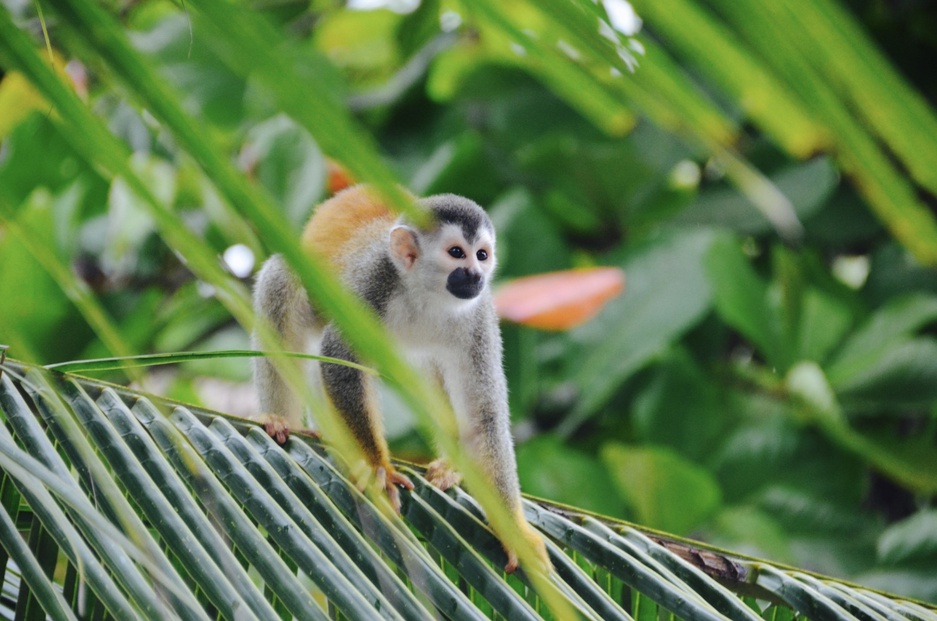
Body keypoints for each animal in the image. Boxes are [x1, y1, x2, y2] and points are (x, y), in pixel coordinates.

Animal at [256, 184, 548, 572]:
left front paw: (516, 534)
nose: (475, 274)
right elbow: (340, 357)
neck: (425, 295)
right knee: (280, 279)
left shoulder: (478, 317)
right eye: (457, 253)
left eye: (482, 255)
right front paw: (376, 466)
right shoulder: (371, 284)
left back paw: (450, 465)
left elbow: (481, 418)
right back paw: (280, 420)